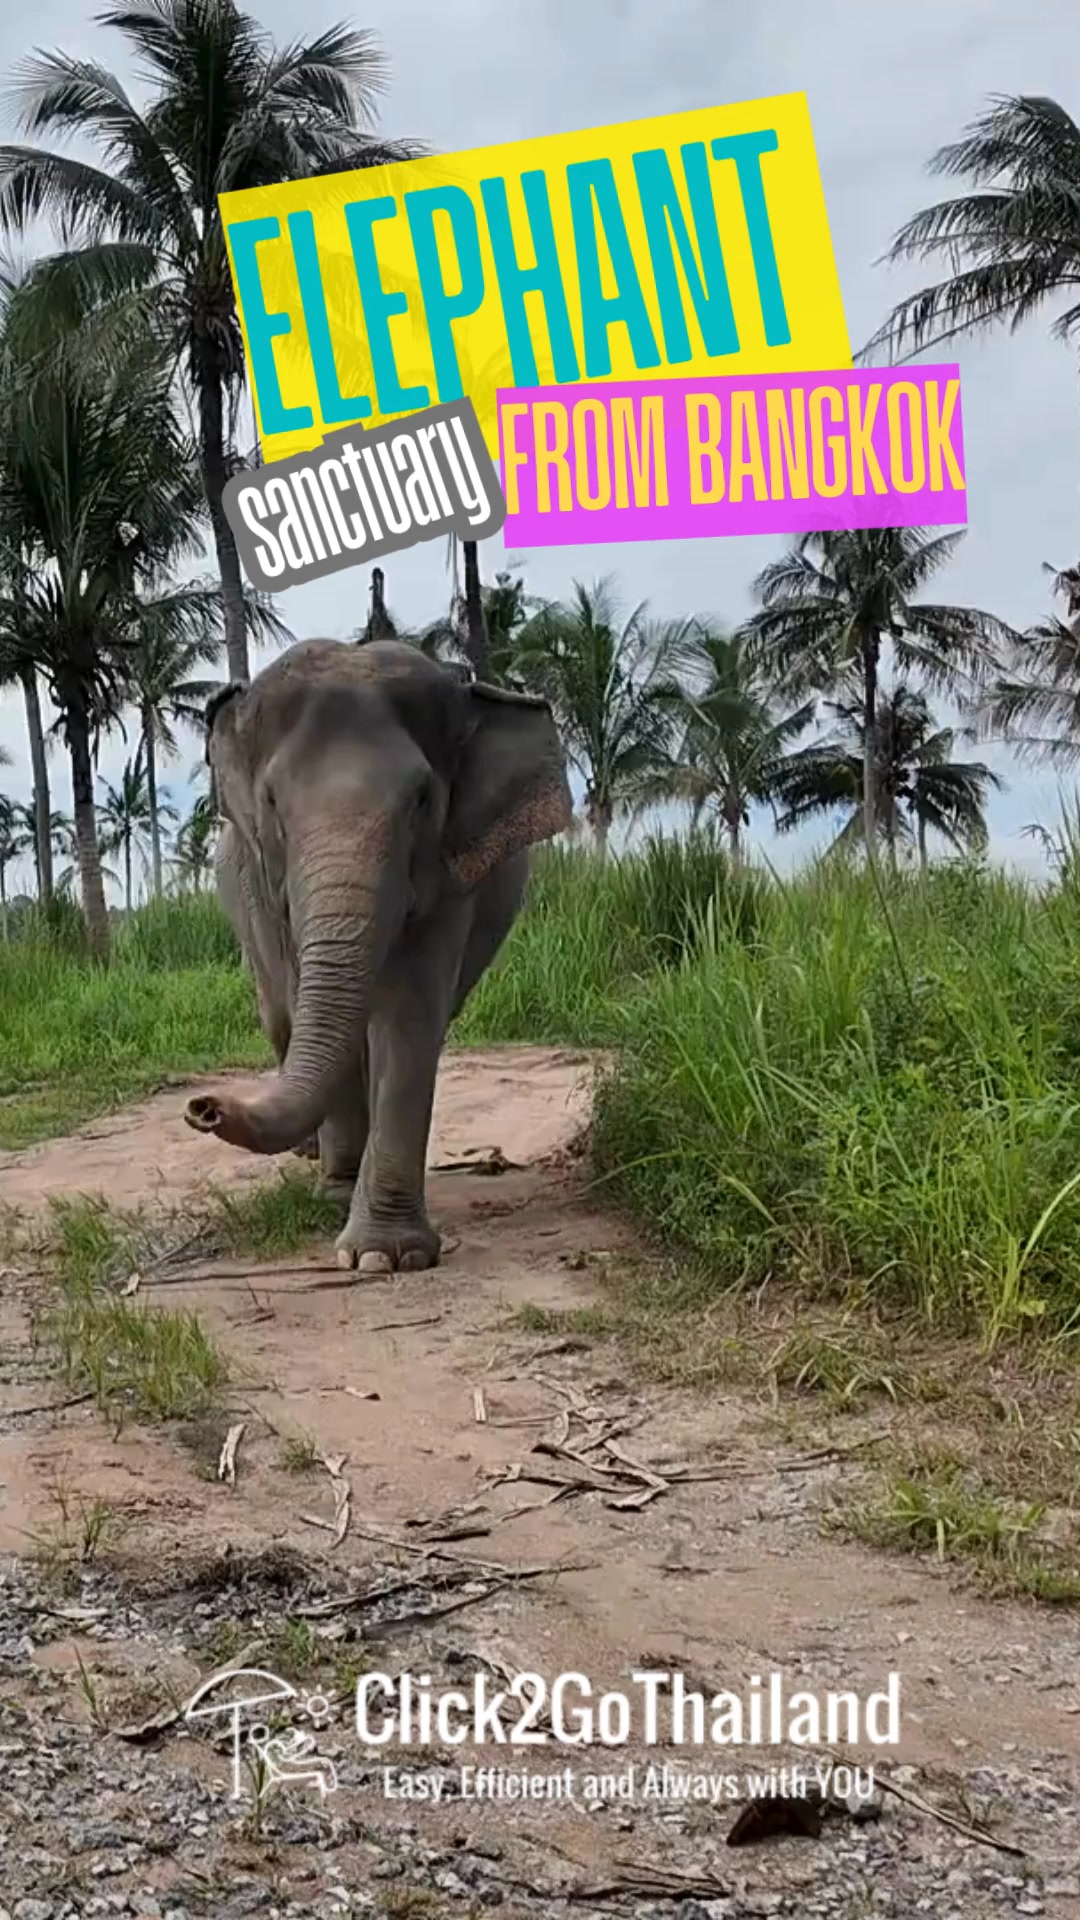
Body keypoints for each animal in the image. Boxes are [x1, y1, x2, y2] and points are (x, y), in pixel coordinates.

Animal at [184, 637, 573, 1274]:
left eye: (422, 799)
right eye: (272, 801)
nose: (203, 1108)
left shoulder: (451, 867)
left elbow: (410, 1014)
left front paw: (383, 1256)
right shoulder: (270, 888)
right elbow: (307, 994)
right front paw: (336, 1199)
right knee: (281, 1015)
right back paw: (313, 1156)